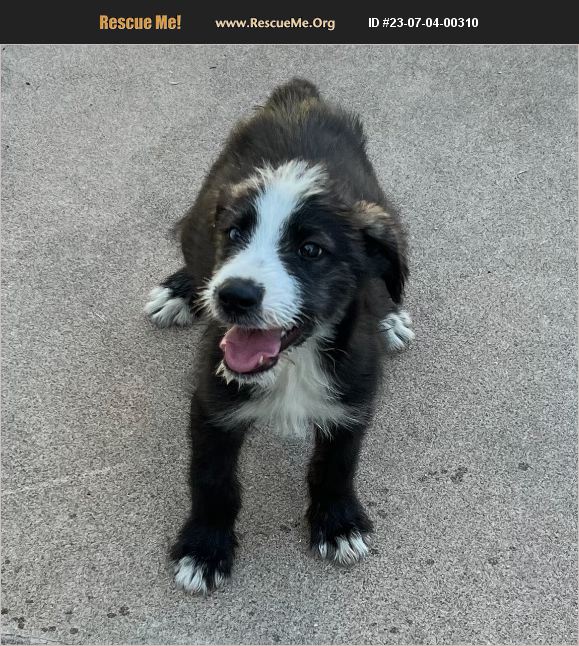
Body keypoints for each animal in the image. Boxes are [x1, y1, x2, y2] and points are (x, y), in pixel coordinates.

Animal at [145, 78, 416, 596]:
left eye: (311, 250)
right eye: (234, 234)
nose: (233, 295)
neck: (296, 362)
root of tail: (296, 96)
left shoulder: (353, 398)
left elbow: (337, 464)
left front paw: (338, 524)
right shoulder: (213, 400)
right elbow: (212, 478)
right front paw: (204, 549)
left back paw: (390, 317)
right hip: (199, 216)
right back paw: (180, 290)